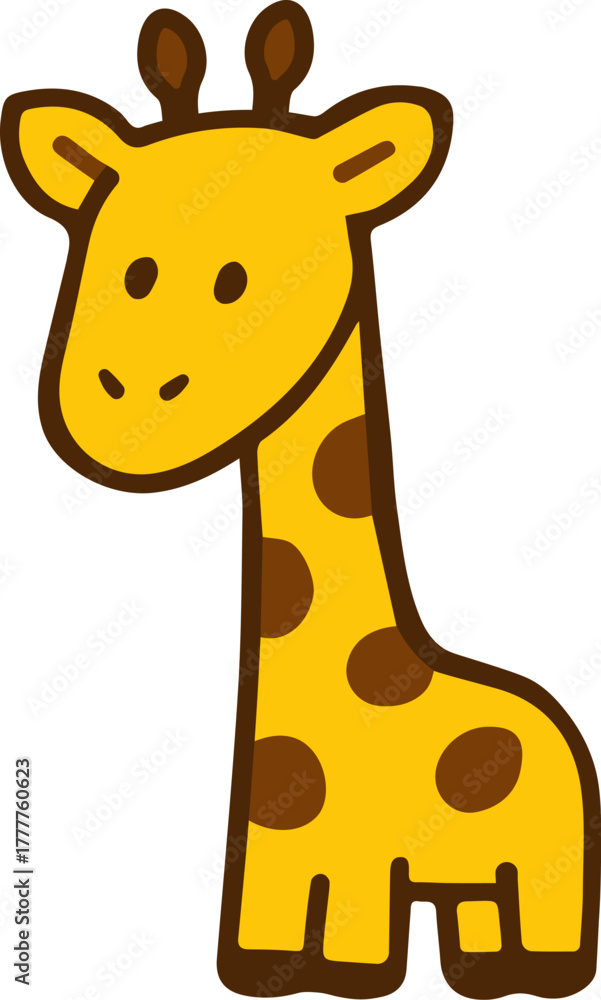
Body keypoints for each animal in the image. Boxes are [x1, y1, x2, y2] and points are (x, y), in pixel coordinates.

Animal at [1, 3, 599, 997]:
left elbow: (356, 947)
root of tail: (555, 722)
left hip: (540, 866)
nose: (120, 399)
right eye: (128, 269)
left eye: (237, 278)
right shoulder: (274, 869)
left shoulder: (359, 874)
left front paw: (346, 979)